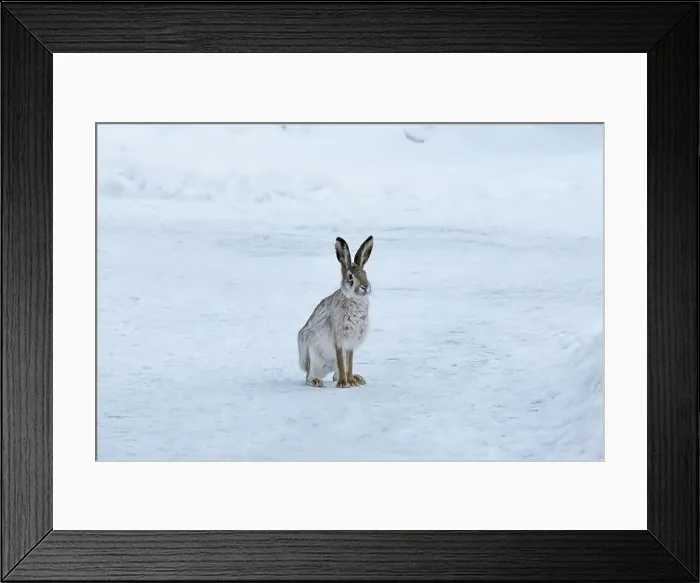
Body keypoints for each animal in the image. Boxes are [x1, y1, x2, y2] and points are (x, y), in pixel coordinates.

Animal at [297, 235, 374, 388]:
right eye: (350, 276)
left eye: (365, 273)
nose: (365, 286)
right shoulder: (338, 339)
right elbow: (341, 362)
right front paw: (344, 383)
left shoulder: (350, 345)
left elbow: (349, 362)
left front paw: (350, 381)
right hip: (312, 355)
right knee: (308, 376)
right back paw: (316, 381)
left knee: (335, 373)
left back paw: (356, 378)